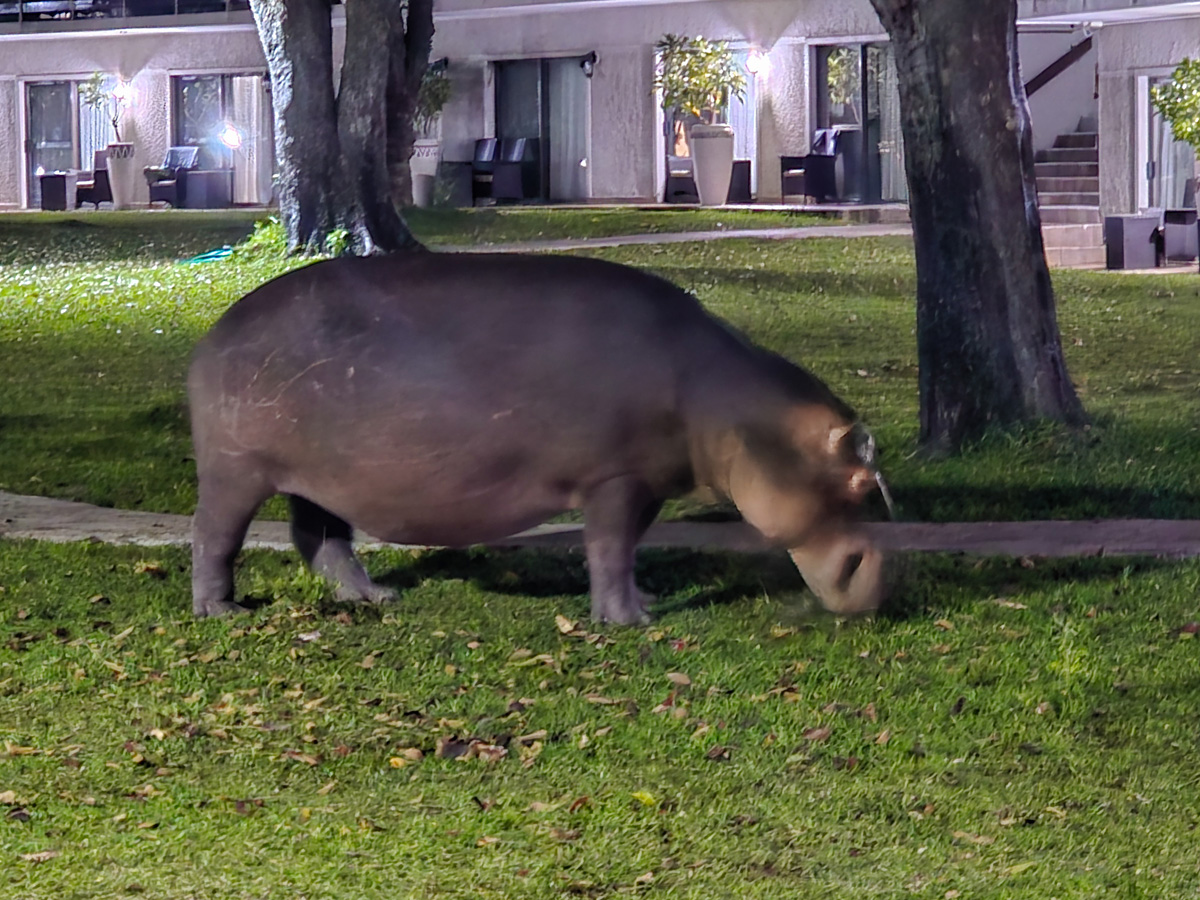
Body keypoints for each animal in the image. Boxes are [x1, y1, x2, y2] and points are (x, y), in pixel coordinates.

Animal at [188, 252, 889, 624]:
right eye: (858, 482)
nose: (878, 577)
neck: (733, 407)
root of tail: (216, 331)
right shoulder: (614, 479)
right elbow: (607, 546)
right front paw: (630, 622)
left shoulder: (648, 480)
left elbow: (627, 548)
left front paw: (646, 599)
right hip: (235, 469)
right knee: (214, 535)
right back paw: (223, 611)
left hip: (317, 478)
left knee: (322, 539)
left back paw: (376, 597)